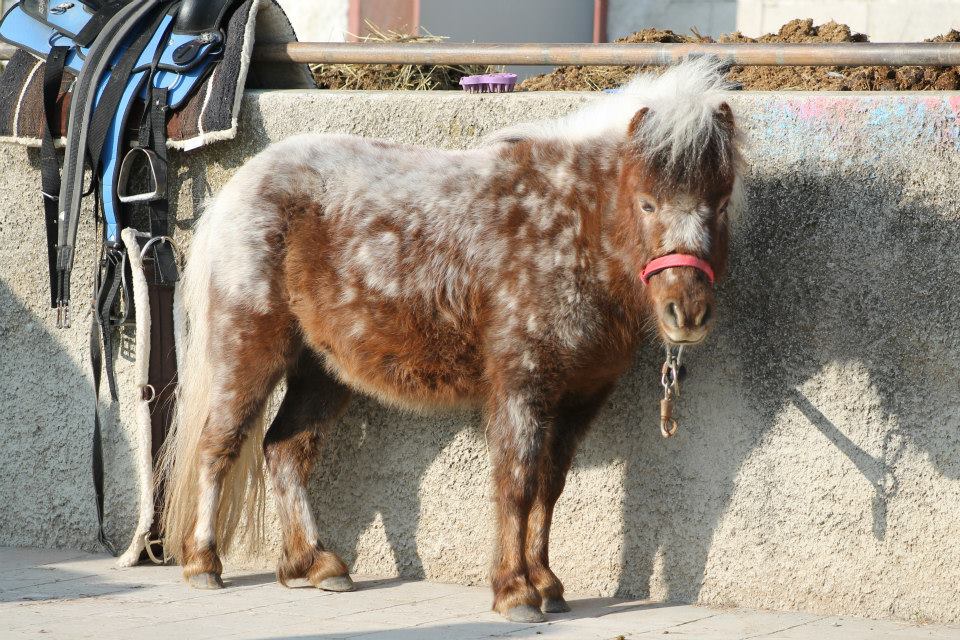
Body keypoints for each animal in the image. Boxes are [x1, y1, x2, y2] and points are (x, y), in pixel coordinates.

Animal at [161, 57, 744, 624]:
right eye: (647, 204)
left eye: (720, 205)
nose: (687, 313)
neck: (571, 223)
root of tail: (241, 186)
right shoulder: (521, 384)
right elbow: (517, 481)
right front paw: (515, 591)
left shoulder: (580, 396)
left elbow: (549, 486)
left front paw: (547, 584)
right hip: (249, 348)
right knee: (219, 445)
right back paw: (204, 563)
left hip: (322, 369)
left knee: (284, 450)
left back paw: (315, 564)